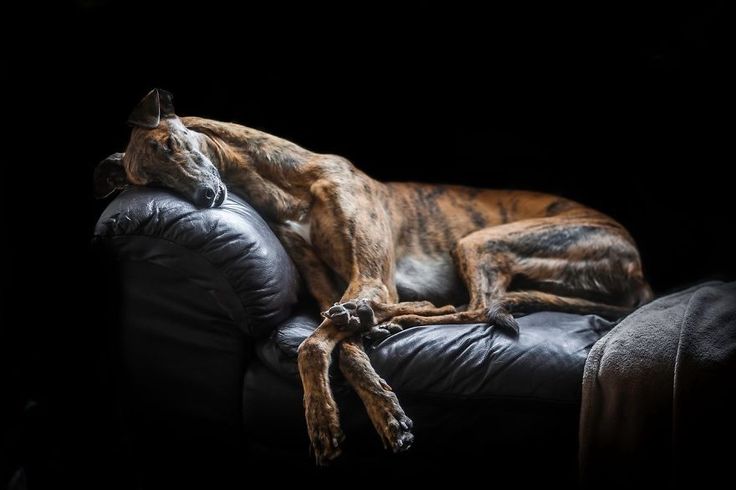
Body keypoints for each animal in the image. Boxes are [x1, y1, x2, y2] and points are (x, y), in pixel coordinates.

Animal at [95, 88, 652, 464]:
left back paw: (402, 318)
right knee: (471, 307)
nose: (207, 198)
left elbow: (314, 343)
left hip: (483, 240)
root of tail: (637, 268)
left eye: (171, 144)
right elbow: (339, 346)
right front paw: (381, 411)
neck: (288, 184)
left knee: (477, 308)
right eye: (148, 179)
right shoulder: (333, 287)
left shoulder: (372, 278)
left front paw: (322, 418)